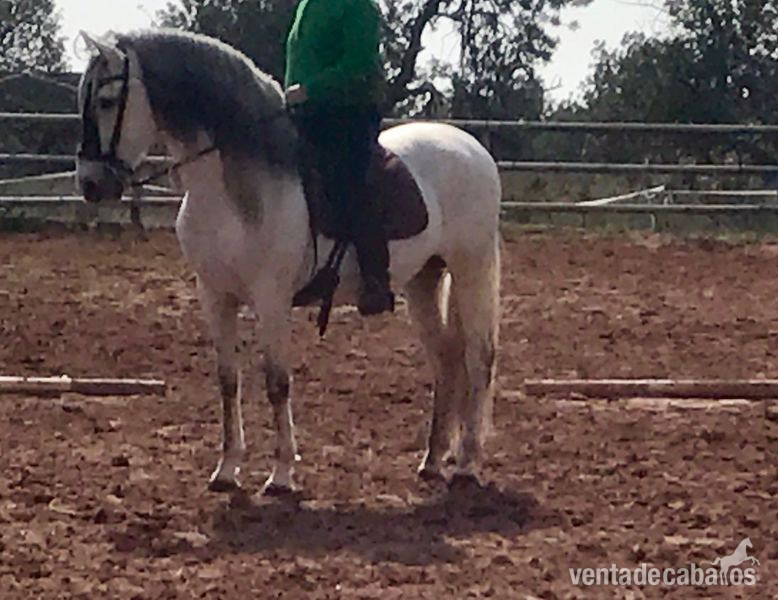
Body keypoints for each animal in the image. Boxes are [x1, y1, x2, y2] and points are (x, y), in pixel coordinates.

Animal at [75, 29, 501, 495]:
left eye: (107, 101)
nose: (90, 184)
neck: (233, 188)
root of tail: (472, 147)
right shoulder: (215, 295)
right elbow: (228, 380)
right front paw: (227, 469)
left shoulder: (271, 297)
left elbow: (277, 381)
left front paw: (281, 474)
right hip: (424, 279)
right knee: (446, 359)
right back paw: (432, 460)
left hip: (471, 268)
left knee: (479, 358)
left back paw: (467, 464)